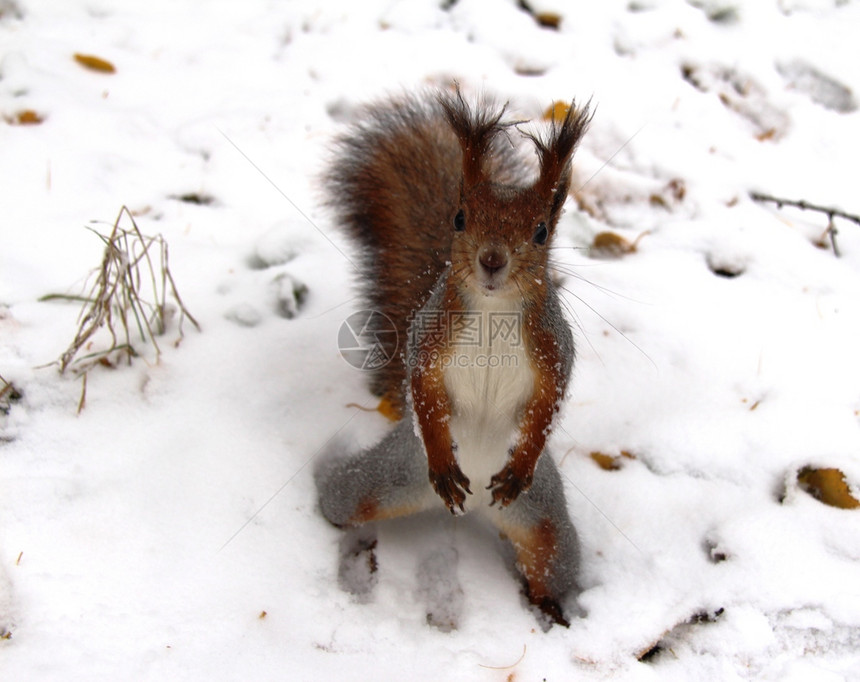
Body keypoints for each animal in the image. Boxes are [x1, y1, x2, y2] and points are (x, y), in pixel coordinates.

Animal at [316, 86, 592, 628]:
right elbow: (422, 386)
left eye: (541, 231)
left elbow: (551, 400)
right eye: (460, 218)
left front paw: (521, 463)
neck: (492, 309)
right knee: (343, 493)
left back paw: (550, 609)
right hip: (389, 477)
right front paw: (443, 461)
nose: (492, 259)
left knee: (551, 560)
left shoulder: (554, 347)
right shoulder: (429, 336)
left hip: (544, 519)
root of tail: (473, 511)